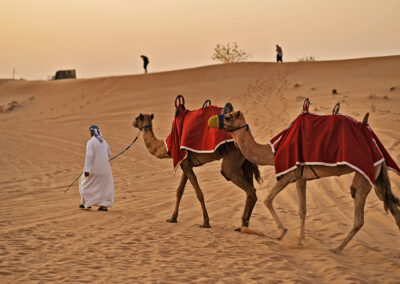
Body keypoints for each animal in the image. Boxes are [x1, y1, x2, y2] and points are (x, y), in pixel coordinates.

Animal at [219, 109, 400, 253]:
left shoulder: (288, 175)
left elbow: (268, 200)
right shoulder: (301, 177)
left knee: (359, 217)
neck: (272, 152)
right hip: (377, 179)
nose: (217, 122)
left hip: (365, 176)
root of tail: (379, 153)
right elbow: (302, 210)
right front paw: (301, 240)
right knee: (393, 208)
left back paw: (336, 249)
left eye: (228, 116)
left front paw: (283, 232)